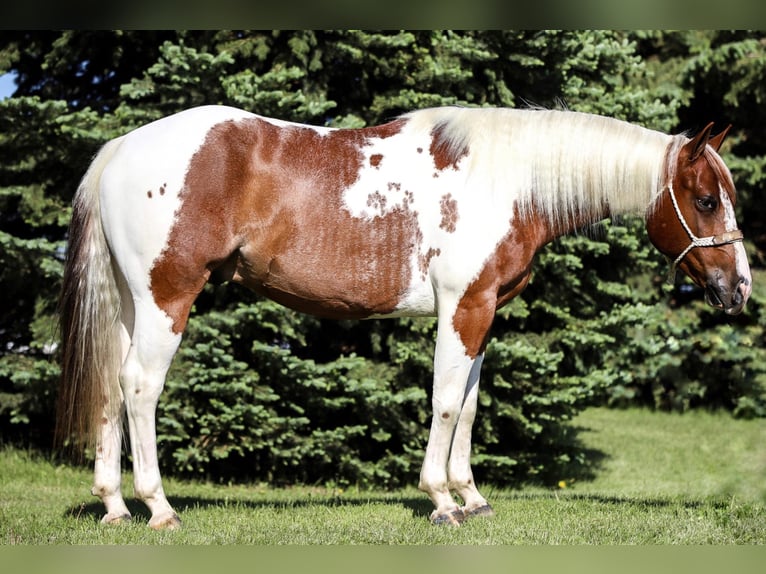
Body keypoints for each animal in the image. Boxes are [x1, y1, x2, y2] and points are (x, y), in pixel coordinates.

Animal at [57, 104, 752, 532]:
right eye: (705, 199)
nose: (739, 287)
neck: (507, 181)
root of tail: (121, 148)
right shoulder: (462, 307)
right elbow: (444, 402)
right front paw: (441, 500)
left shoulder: (483, 313)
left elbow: (468, 405)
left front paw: (472, 497)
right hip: (167, 298)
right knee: (140, 388)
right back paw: (158, 507)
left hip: (129, 304)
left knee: (109, 389)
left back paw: (114, 506)